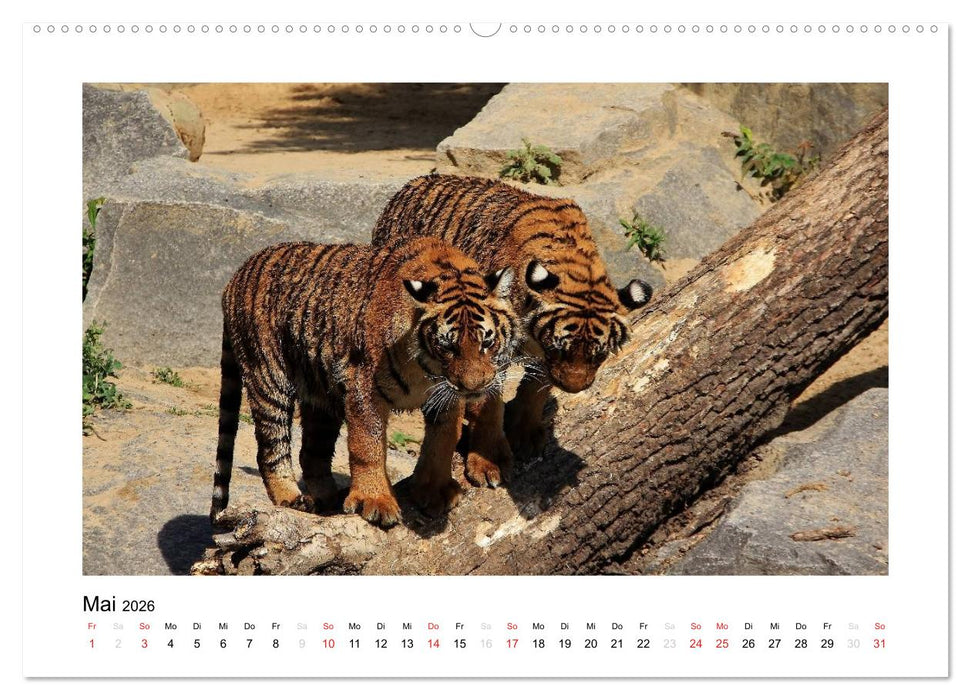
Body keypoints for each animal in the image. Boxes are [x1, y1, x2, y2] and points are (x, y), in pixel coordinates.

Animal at [209, 236, 517, 528]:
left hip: (320, 396)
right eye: (448, 347)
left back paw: (329, 500)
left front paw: (434, 490)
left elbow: (442, 439)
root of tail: (236, 276)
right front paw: (375, 501)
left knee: (311, 454)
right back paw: (291, 498)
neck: (427, 369)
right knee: (270, 450)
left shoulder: (444, 394)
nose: (474, 387)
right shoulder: (363, 386)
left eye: (486, 342)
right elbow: (367, 446)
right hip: (268, 379)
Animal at [372, 174, 652, 486]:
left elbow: (536, 387)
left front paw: (526, 433)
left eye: (599, 354)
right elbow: (489, 401)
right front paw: (488, 461)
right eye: (559, 348)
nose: (573, 387)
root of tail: (413, 184)